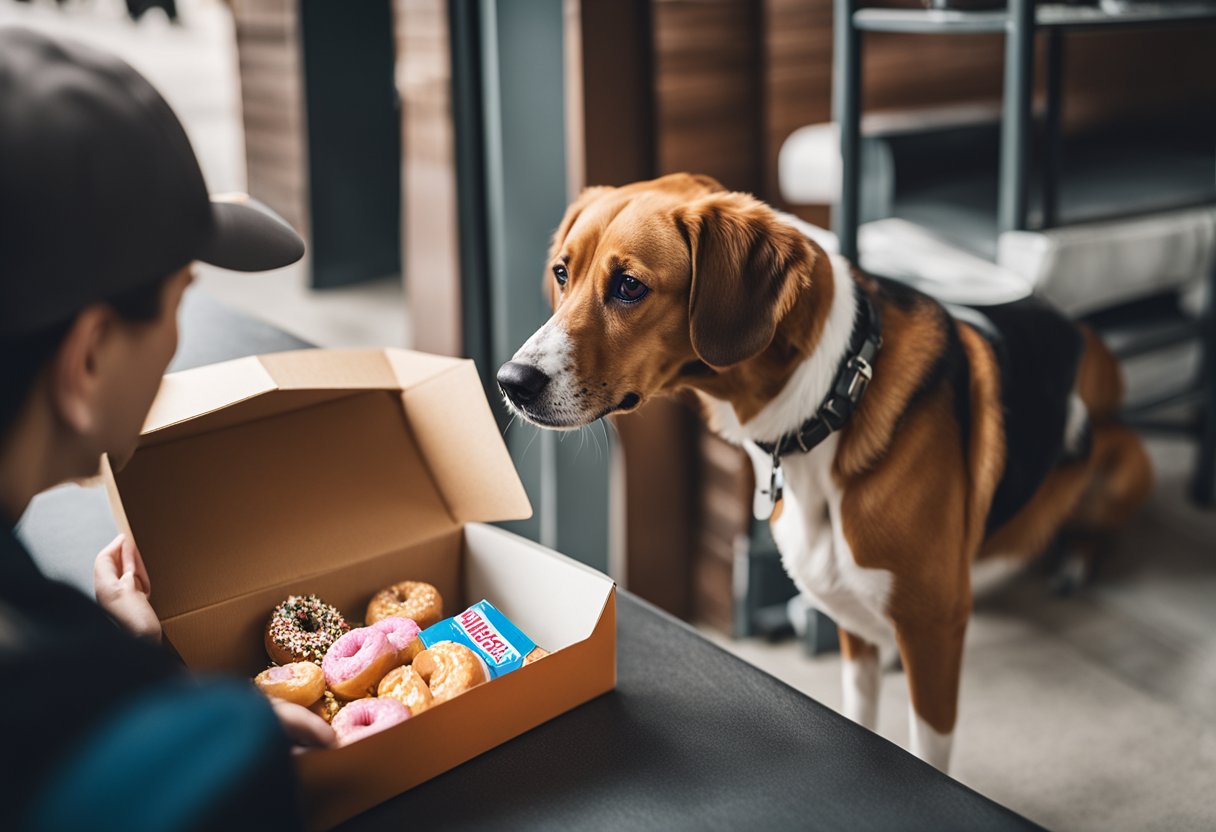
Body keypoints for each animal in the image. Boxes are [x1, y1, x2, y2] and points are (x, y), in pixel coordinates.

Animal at [493, 172, 1147, 768]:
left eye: (629, 286)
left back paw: (1075, 559)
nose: (510, 382)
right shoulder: (852, 624)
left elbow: (929, 748)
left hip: (1126, 465)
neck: (831, 399)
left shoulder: (935, 633)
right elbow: (864, 711)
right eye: (562, 273)